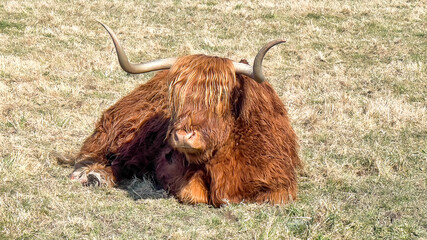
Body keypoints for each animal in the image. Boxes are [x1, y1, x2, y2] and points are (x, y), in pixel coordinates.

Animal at [72, 22, 302, 206]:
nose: (183, 136)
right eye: (176, 98)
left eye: (220, 98)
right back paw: (94, 176)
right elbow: (193, 194)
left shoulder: (280, 184)